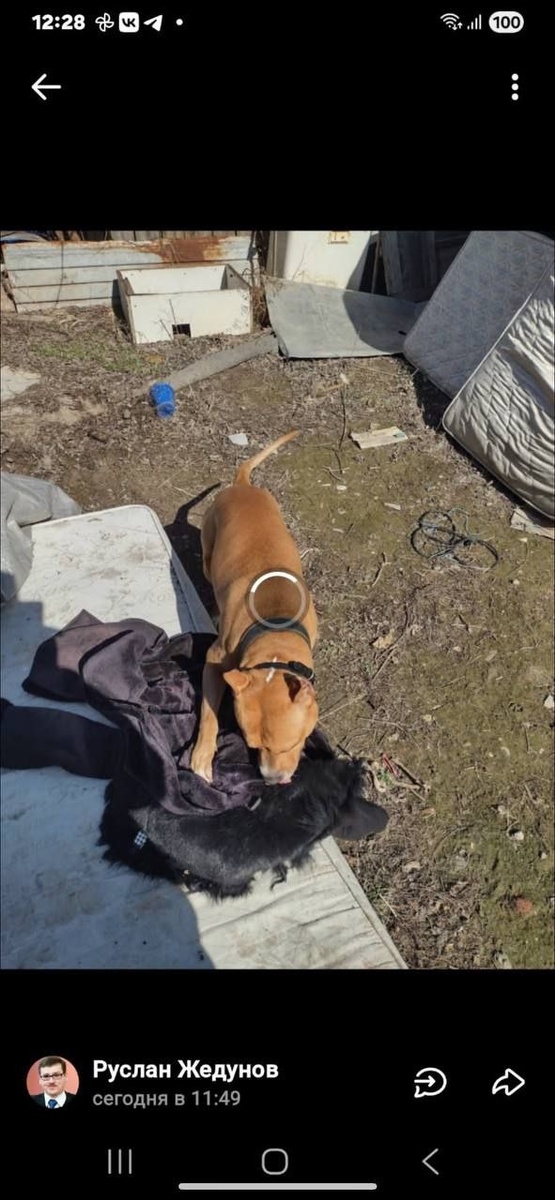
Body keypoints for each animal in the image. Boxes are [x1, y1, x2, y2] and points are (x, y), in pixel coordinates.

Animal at [190, 431, 318, 786]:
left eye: (289, 744)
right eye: (253, 745)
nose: (271, 780)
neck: (274, 628)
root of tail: (241, 484)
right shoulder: (214, 658)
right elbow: (208, 712)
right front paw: (202, 756)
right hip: (209, 549)